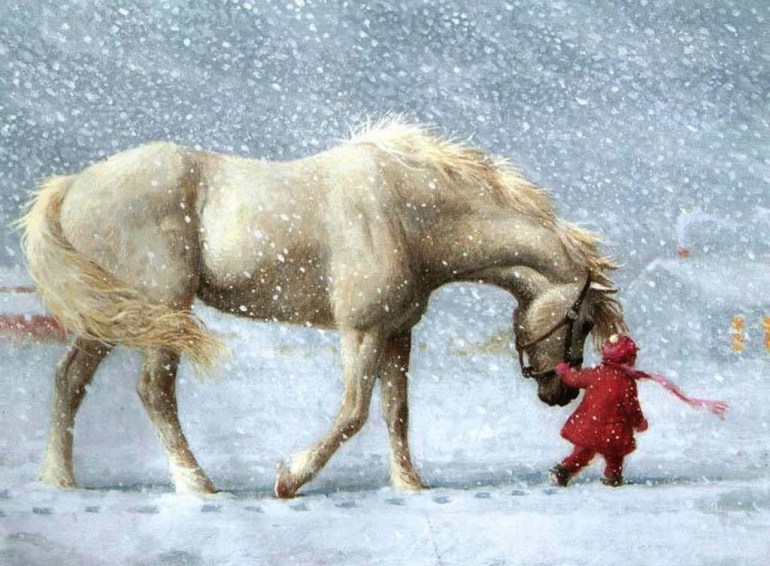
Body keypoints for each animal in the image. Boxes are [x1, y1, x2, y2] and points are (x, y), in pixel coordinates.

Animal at [20, 118, 626, 497]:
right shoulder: (361, 331)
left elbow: (397, 414)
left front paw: (410, 484)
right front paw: (290, 478)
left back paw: (59, 479)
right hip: (159, 312)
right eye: (580, 321)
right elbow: (353, 412)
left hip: (115, 313)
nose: (560, 392)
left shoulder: (397, 333)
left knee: (69, 380)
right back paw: (196, 485)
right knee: (153, 392)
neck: (408, 213)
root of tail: (72, 185)